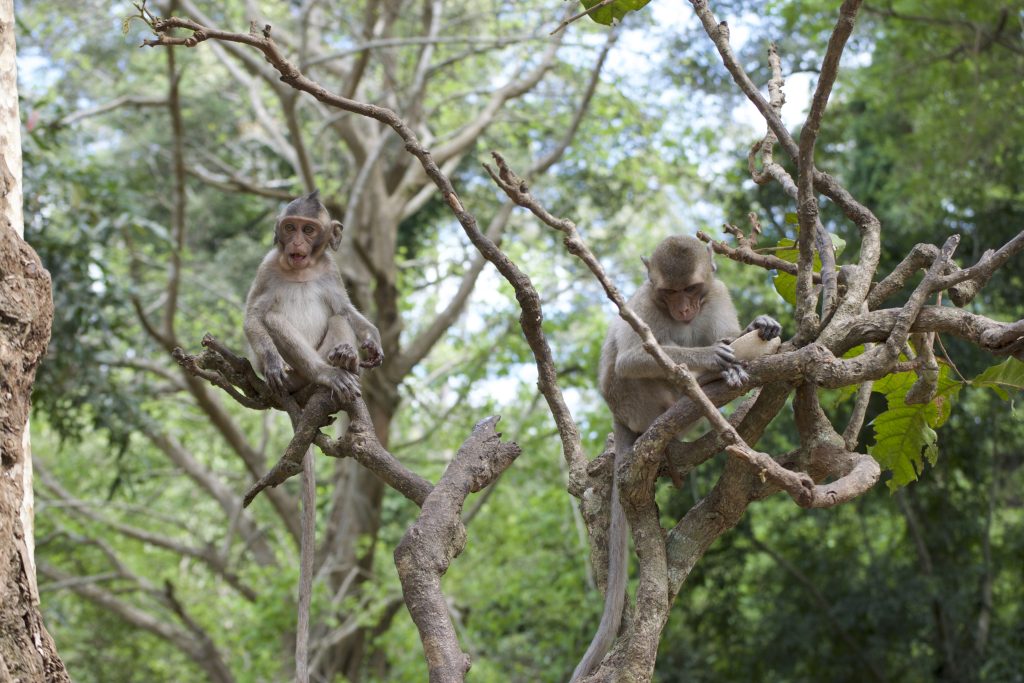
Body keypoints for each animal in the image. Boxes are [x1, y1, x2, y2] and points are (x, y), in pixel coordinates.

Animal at [244, 189, 383, 401]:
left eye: (308, 229)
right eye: (290, 227)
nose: (297, 242)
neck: (301, 271)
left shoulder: (330, 268)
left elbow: (344, 309)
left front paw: (373, 339)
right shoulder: (267, 268)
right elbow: (253, 317)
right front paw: (273, 362)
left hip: (323, 354)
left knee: (339, 318)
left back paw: (347, 359)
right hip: (291, 374)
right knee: (272, 319)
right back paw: (324, 373)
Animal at [571, 235, 781, 681]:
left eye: (693, 289)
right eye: (670, 293)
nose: (683, 310)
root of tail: (618, 416)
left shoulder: (717, 295)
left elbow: (730, 331)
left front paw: (760, 325)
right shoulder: (644, 306)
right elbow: (632, 358)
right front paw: (711, 357)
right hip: (631, 401)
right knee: (628, 368)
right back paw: (698, 386)